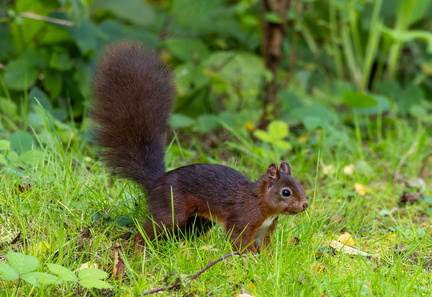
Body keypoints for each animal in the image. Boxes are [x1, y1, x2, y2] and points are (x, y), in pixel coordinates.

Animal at [89, 41, 308, 252]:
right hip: (173, 210)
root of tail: (156, 182)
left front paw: (268, 260)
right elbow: (239, 240)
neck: (260, 202)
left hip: (199, 221)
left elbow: (266, 247)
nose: (305, 204)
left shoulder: (265, 230)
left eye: (301, 186)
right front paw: (249, 259)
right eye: (286, 192)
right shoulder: (242, 219)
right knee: (149, 230)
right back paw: (139, 251)